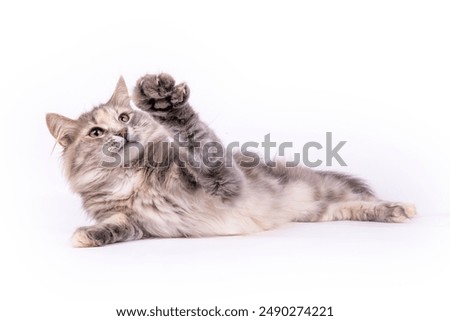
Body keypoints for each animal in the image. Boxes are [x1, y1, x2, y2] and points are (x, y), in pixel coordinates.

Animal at [44, 73, 414, 248]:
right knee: (349, 206)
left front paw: (164, 101)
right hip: (320, 211)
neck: (133, 177)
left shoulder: (225, 182)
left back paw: (400, 208)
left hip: (325, 188)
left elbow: (195, 136)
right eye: (95, 132)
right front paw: (88, 236)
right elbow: (116, 226)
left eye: (124, 116)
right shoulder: (137, 223)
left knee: (363, 196)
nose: (122, 133)